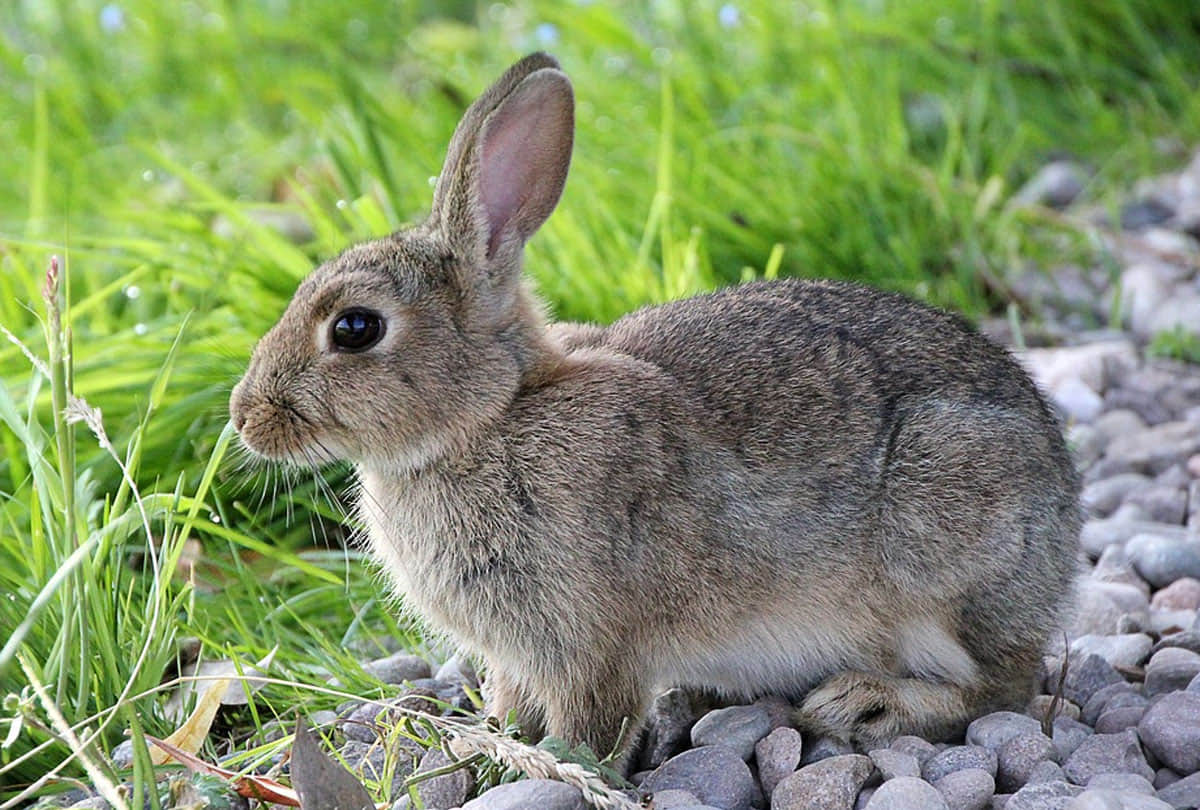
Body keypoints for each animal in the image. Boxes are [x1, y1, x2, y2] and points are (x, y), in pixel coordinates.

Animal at [229, 52, 1080, 762]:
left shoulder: (591, 640)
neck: (491, 418)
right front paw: (491, 740)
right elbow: (513, 702)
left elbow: (591, 722)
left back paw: (867, 705)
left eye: (355, 328)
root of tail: (1065, 519)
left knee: (1003, 686)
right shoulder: (517, 653)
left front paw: (555, 766)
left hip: (946, 549)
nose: (244, 415)